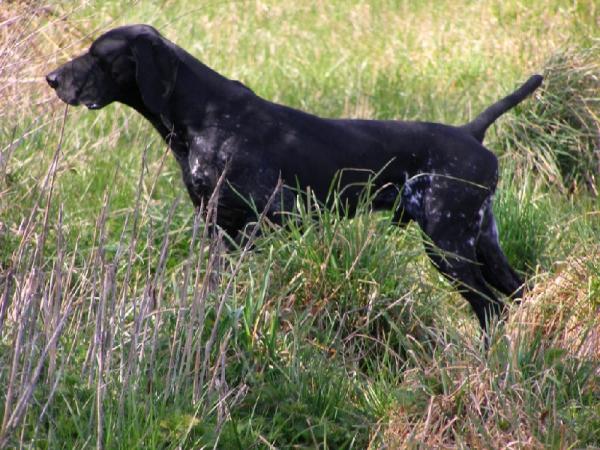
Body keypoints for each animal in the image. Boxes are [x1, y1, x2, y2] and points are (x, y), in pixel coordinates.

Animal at [47, 24, 544, 332]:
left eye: (97, 55)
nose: (51, 78)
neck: (203, 116)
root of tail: (471, 132)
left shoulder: (263, 223)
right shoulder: (217, 229)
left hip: (448, 245)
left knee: (491, 308)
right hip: (482, 242)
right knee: (517, 297)